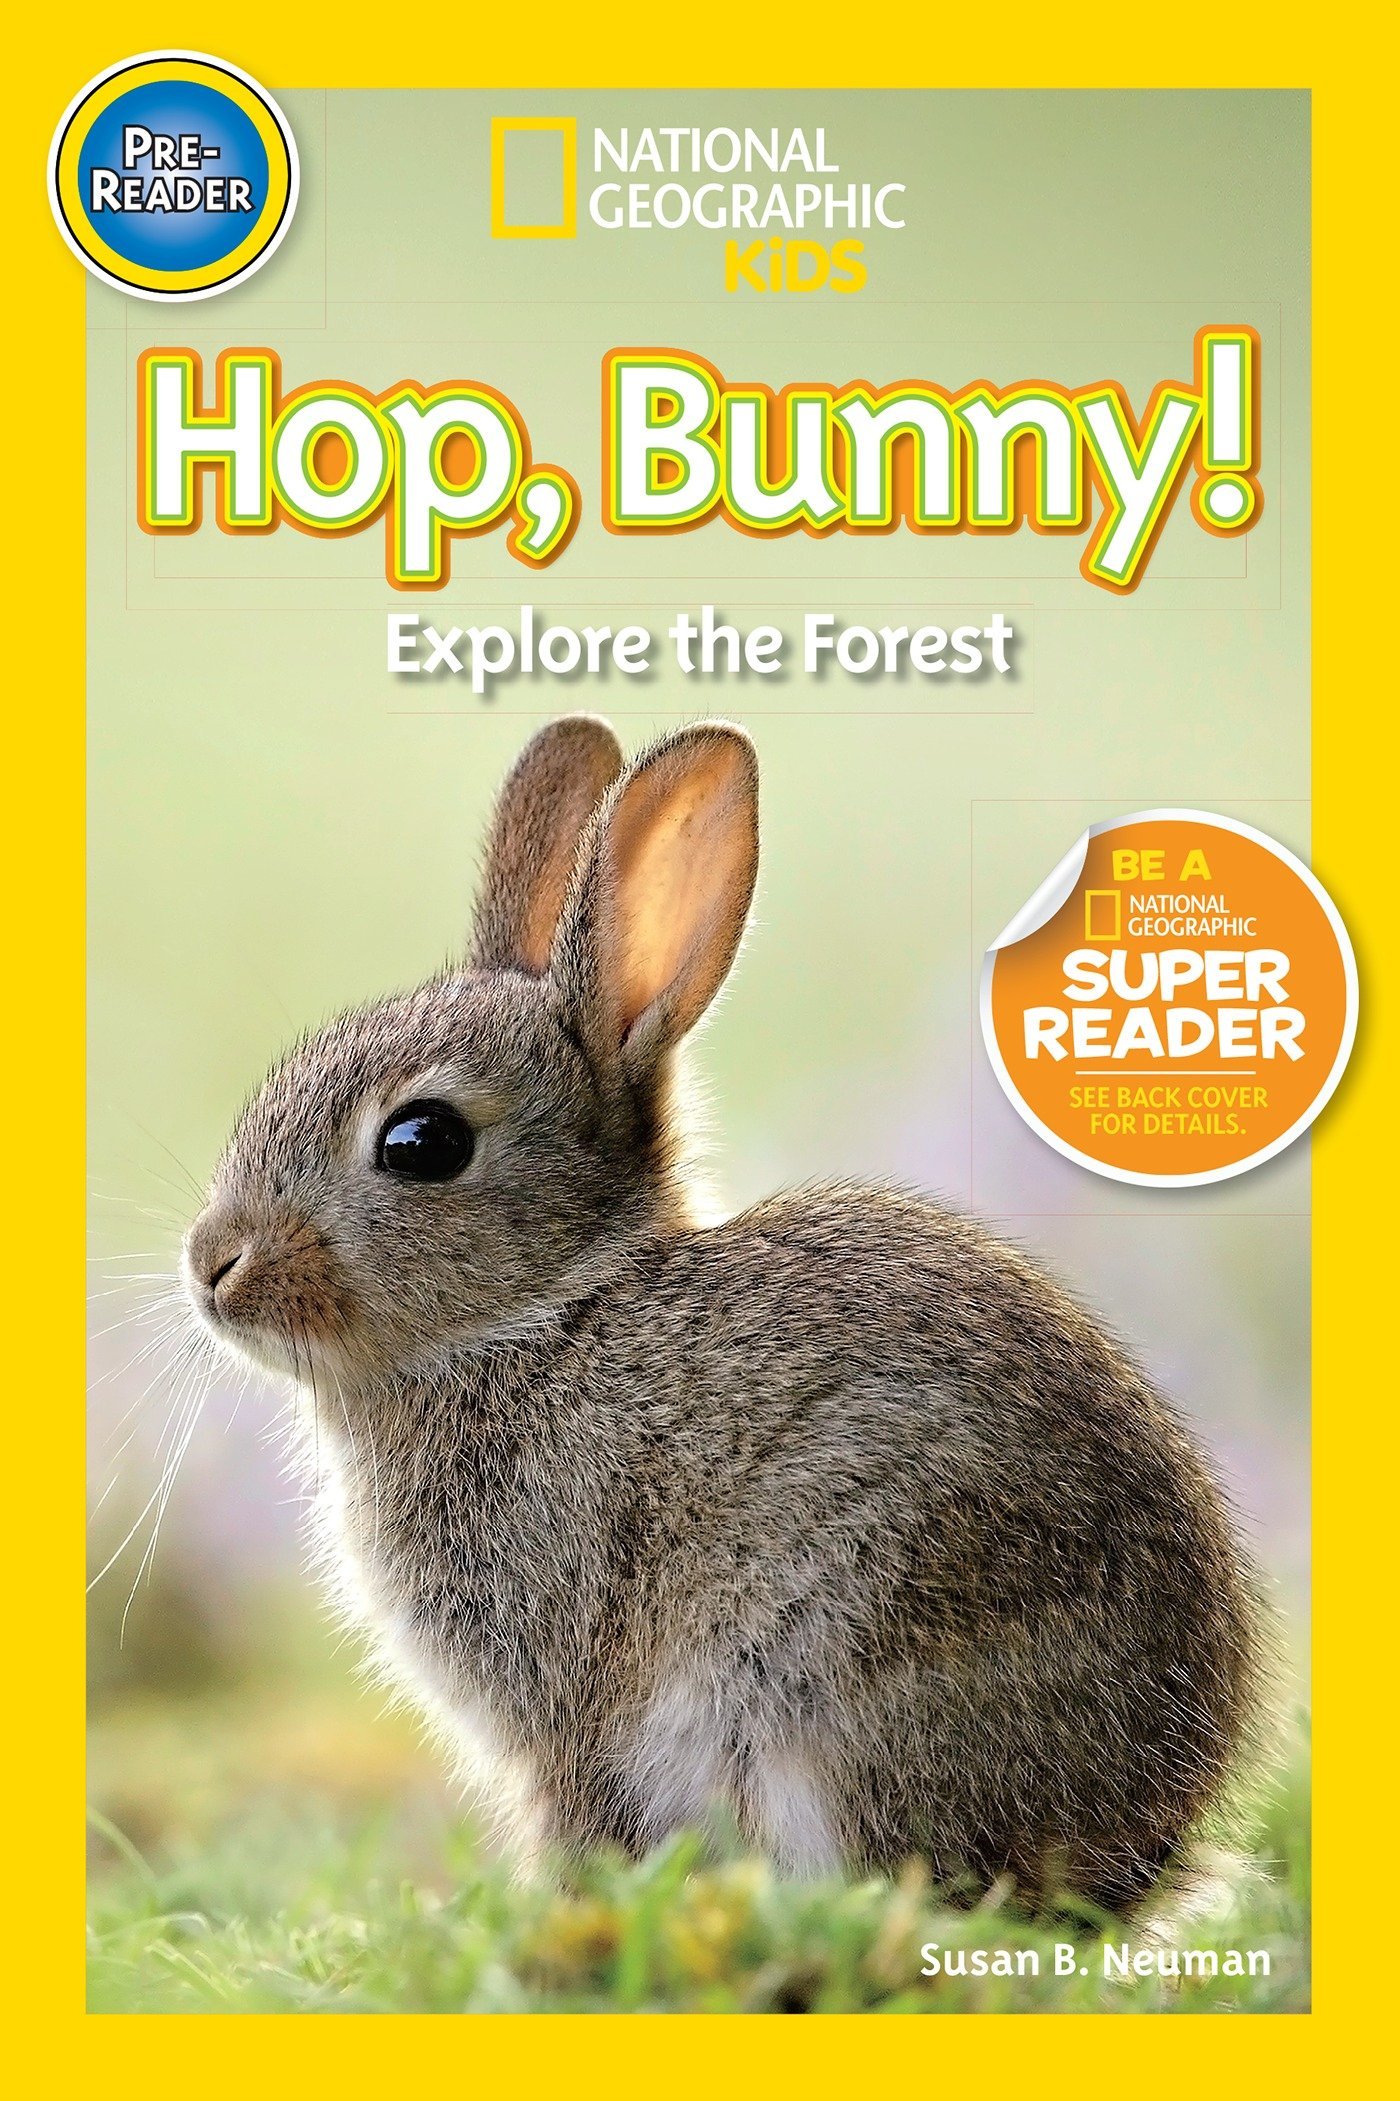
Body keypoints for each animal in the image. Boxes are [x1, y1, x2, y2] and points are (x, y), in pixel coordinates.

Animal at [183, 713, 1264, 1913]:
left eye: (422, 1141)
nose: (212, 1263)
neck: (543, 1312)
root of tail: (1136, 1851)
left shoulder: (568, 1693)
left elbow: (575, 1811)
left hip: (825, 1673)